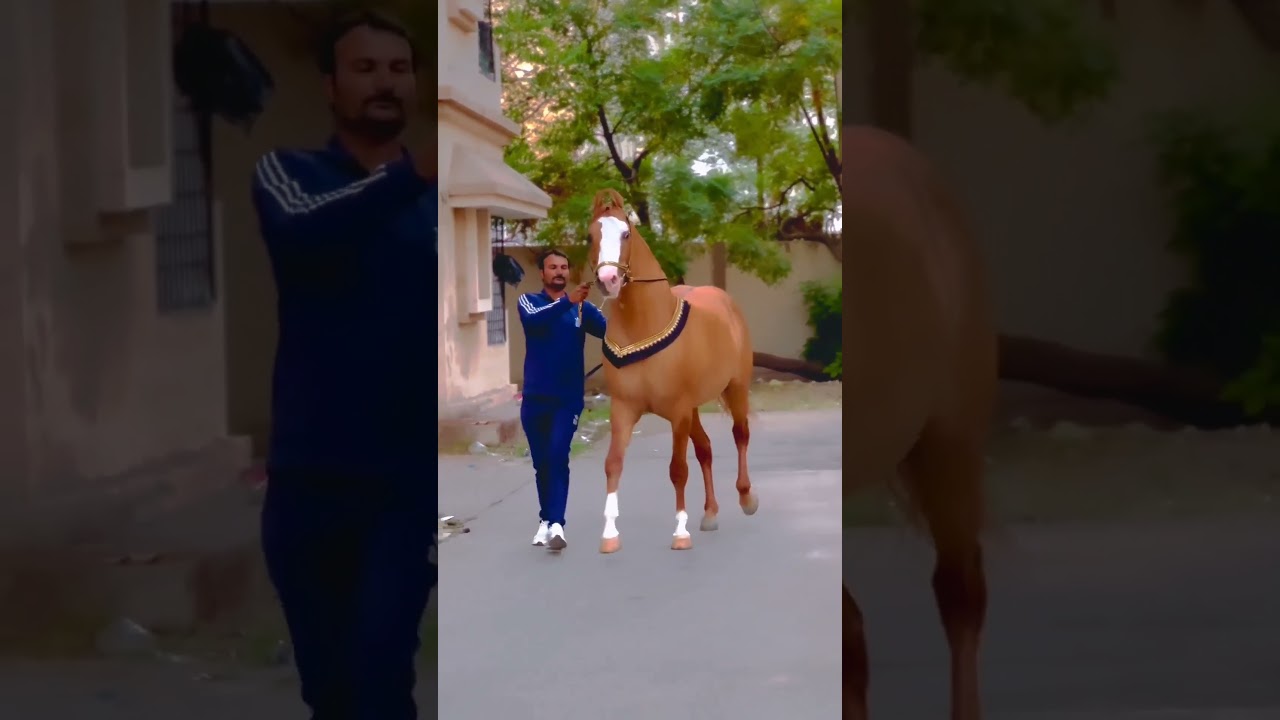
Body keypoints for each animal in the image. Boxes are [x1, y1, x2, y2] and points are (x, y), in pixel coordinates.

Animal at [584, 188, 759, 554]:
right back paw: (710, 513)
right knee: (705, 448)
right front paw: (609, 535)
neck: (642, 326)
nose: (609, 280)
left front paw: (680, 533)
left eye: (626, 233)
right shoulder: (624, 410)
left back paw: (746, 497)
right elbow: (613, 464)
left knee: (740, 435)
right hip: (694, 409)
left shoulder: (678, 412)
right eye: (590, 236)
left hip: (735, 388)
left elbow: (678, 469)